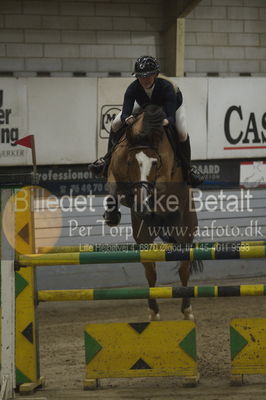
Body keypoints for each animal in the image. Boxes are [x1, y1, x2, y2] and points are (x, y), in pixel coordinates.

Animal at [104, 104, 202, 320]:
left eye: (155, 163)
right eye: (130, 162)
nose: (141, 206)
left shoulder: (165, 176)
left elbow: (160, 188)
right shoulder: (115, 170)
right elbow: (114, 186)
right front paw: (115, 212)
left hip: (185, 232)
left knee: (183, 270)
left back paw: (187, 310)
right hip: (144, 237)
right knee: (150, 271)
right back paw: (153, 312)